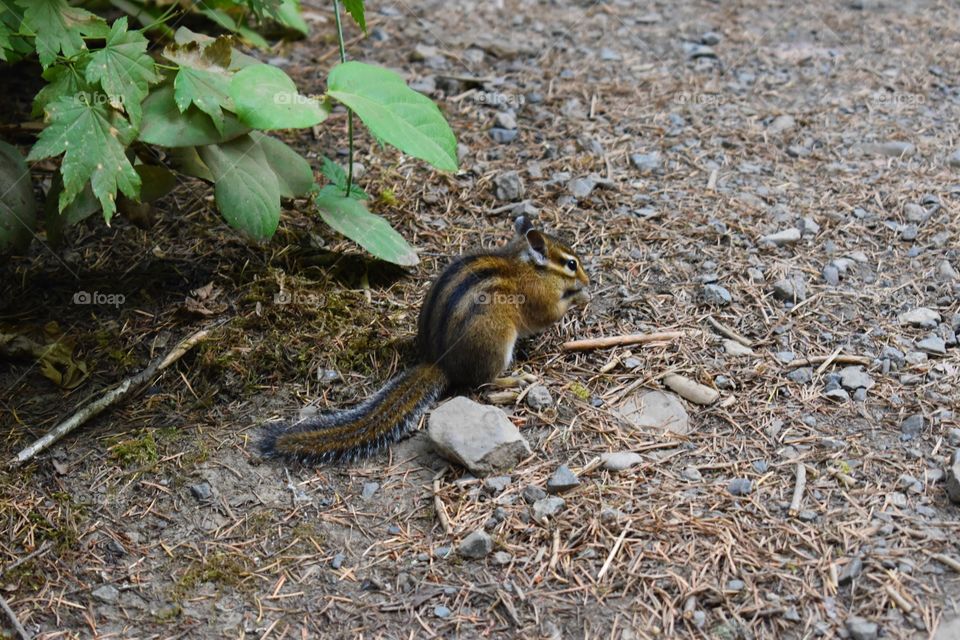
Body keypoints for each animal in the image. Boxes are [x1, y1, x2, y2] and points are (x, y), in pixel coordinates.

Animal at [258, 216, 590, 464]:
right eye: (571, 264)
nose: (587, 279)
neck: (526, 265)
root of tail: (439, 362)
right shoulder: (538, 299)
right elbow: (549, 314)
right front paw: (580, 296)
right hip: (497, 343)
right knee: (483, 382)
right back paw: (515, 380)